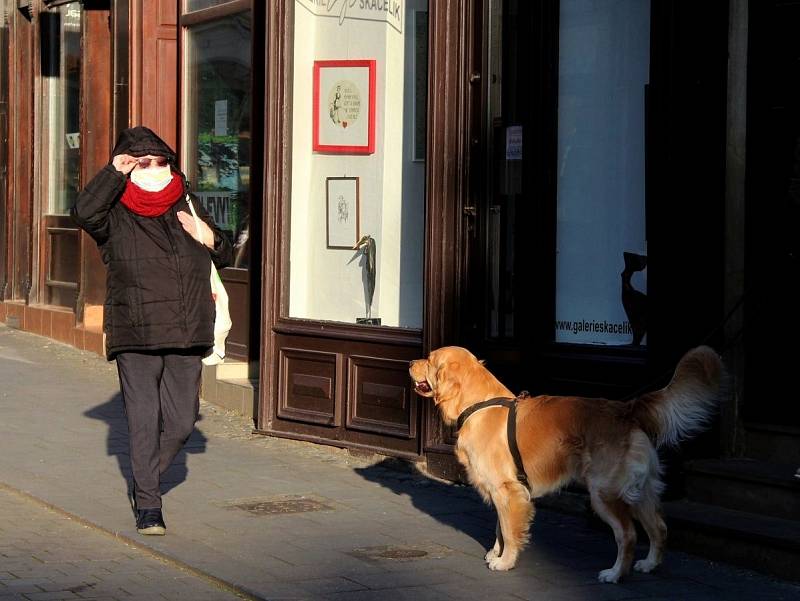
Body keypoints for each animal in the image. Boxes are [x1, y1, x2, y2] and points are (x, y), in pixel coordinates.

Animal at [410, 344, 720, 584]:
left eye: (430, 359)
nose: (411, 362)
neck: (478, 405)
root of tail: (626, 409)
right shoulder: (504, 490)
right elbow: (500, 526)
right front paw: (495, 553)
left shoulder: (507, 489)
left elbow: (508, 529)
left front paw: (505, 561)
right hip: (640, 489)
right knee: (659, 527)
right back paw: (649, 564)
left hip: (603, 493)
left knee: (628, 535)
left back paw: (615, 574)